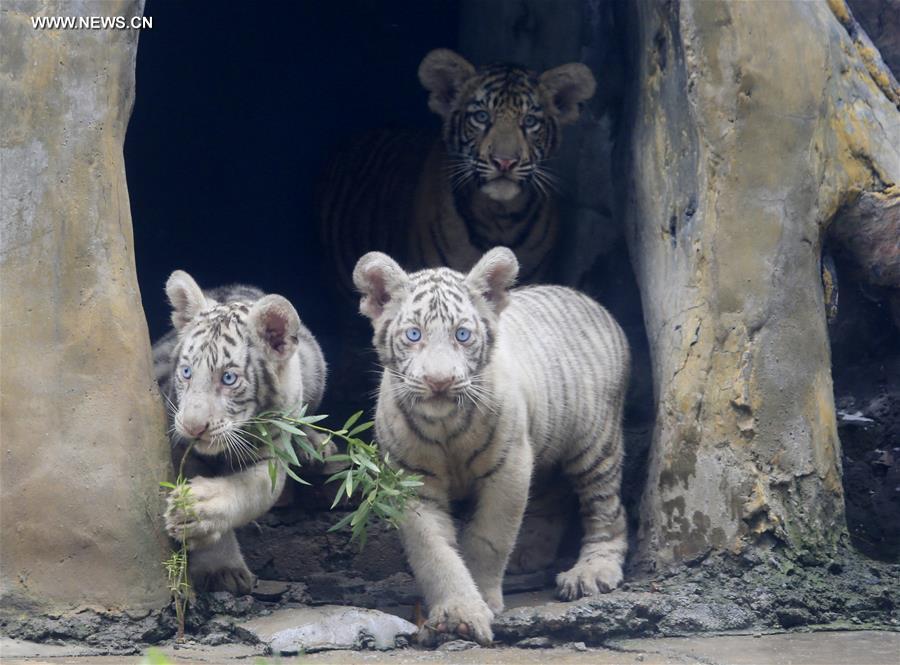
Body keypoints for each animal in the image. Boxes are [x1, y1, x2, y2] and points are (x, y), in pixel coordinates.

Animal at [152, 270, 327, 594]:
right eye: (186, 372)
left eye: (228, 378)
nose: (193, 426)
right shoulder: (180, 447)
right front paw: (220, 568)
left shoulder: (271, 456)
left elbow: (248, 490)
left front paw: (198, 509)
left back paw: (315, 445)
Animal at [353, 246, 629, 646]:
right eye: (414, 334)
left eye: (463, 334)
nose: (439, 382)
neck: (445, 425)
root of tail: (590, 302)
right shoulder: (411, 483)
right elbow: (433, 551)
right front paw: (459, 613)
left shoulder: (510, 467)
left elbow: (489, 537)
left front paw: (483, 599)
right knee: (553, 498)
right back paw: (529, 554)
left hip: (595, 443)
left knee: (607, 509)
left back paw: (591, 572)